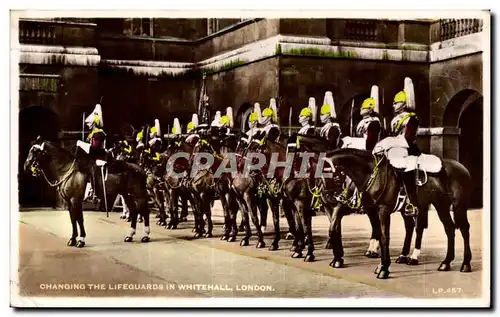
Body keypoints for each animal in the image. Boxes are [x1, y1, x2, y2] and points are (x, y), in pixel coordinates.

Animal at [23, 137, 151, 246]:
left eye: (34, 151)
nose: (25, 166)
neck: (66, 170)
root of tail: (140, 169)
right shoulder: (69, 202)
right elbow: (73, 219)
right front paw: (73, 239)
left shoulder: (75, 200)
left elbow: (79, 219)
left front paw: (81, 240)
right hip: (127, 195)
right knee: (134, 211)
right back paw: (130, 235)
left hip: (138, 195)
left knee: (145, 211)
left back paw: (146, 235)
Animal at [324, 147, 472, 278]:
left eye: (330, 176)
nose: (329, 198)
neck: (371, 174)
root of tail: (461, 167)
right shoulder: (366, 209)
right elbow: (334, 227)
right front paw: (338, 258)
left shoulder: (383, 210)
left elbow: (384, 236)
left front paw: (383, 268)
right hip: (440, 205)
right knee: (448, 228)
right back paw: (445, 262)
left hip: (458, 206)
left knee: (463, 229)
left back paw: (465, 264)